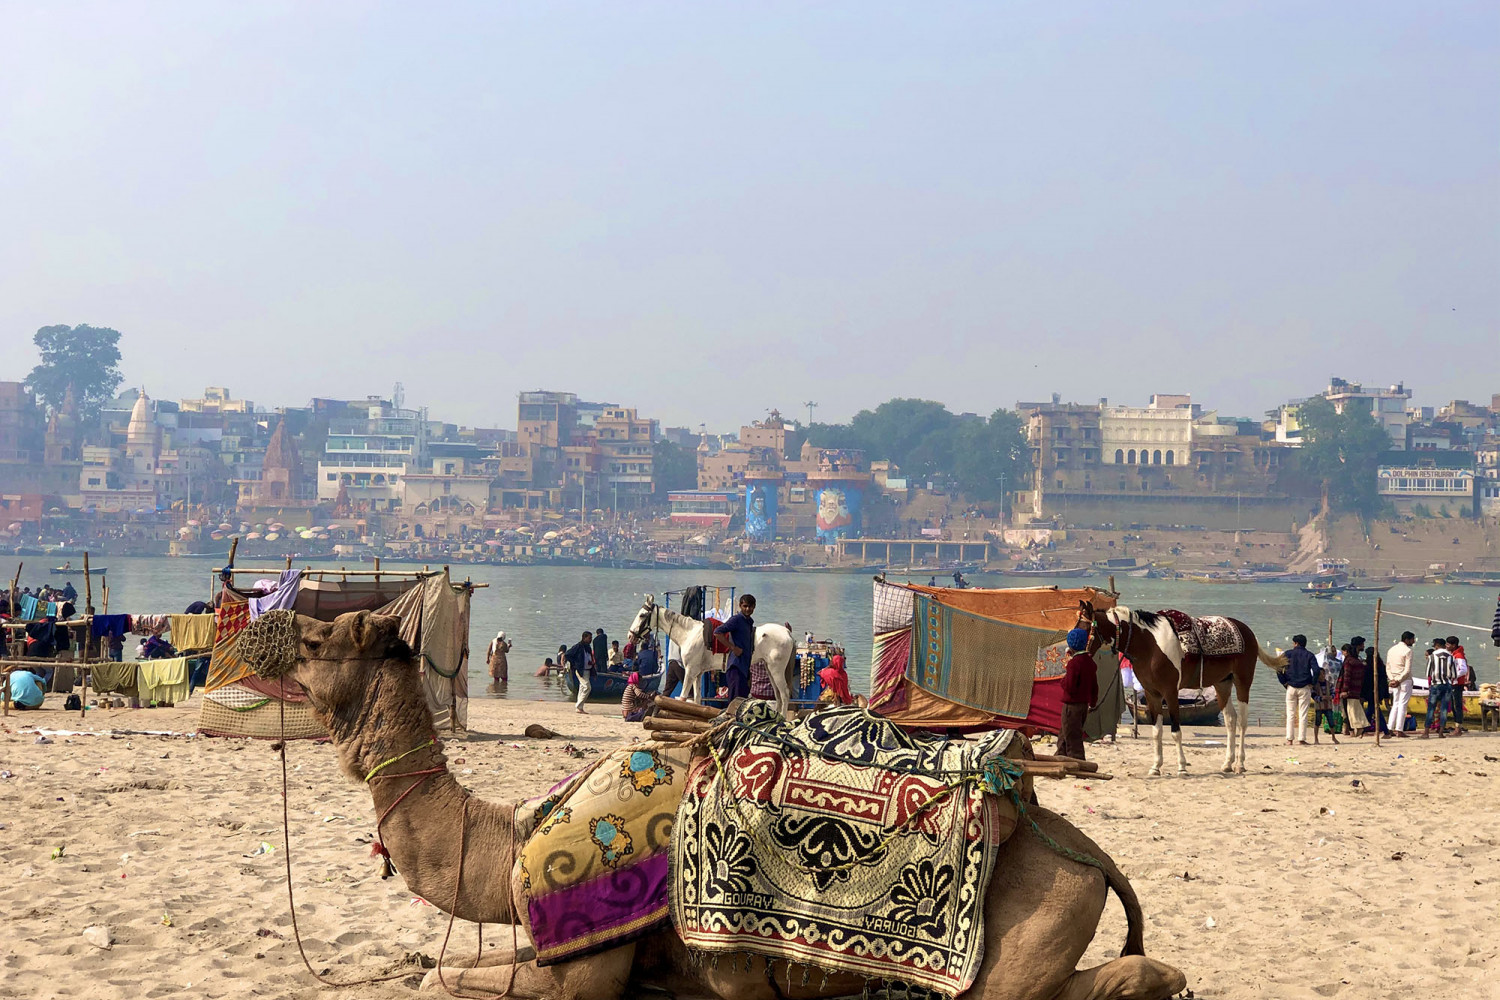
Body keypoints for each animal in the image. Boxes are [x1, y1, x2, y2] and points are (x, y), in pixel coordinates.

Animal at [250, 609, 1187, 1000]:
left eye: (324, 637)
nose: (264, 627)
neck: (507, 838)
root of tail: (1097, 860)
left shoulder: (588, 958)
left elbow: (444, 976)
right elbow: (434, 964)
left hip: (1040, 914)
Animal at [626, 594, 798, 717]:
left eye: (642, 615)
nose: (630, 635)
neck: (689, 633)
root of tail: (787, 633)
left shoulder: (690, 672)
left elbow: (682, 698)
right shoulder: (697, 674)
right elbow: (696, 700)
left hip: (776, 670)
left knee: (784, 694)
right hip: (770, 669)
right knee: (778, 695)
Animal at [1078, 600, 1284, 776]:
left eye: (1084, 628)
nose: (1072, 651)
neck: (1149, 646)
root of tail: (1247, 631)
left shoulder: (1170, 692)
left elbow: (1176, 731)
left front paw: (1182, 767)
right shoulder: (1152, 694)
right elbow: (1157, 732)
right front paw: (1156, 767)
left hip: (1243, 681)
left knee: (1242, 722)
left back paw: (1240, 764)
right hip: (1222, 683)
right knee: (1230, 720)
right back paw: (1227, 763)